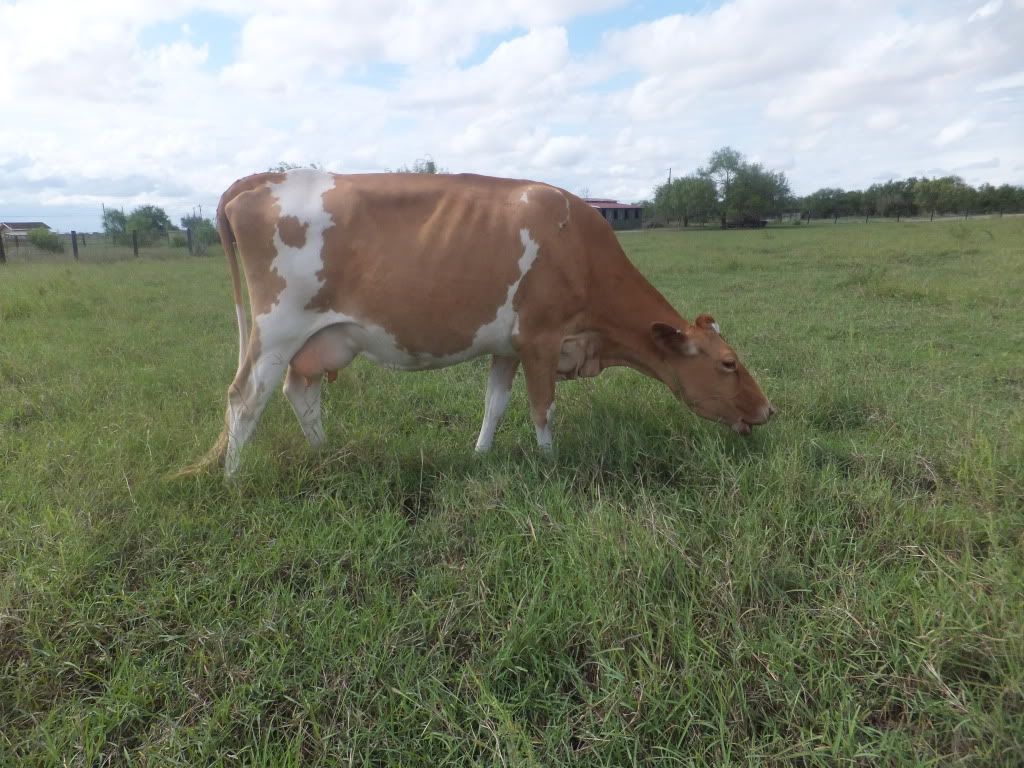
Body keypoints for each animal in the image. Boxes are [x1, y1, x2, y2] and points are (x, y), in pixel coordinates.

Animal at [185, 169, 774, 477]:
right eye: (729, 363)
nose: (768, 410)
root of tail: (272, 176)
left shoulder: (507, 346)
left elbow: (496, 404)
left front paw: (480, 456)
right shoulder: (541, 338)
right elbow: (542, 409)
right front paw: (550, 465)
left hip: (315, 339)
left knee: (299, 393)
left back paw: (325, 455)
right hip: (276, 330)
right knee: (245, 400)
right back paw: (233, 478)